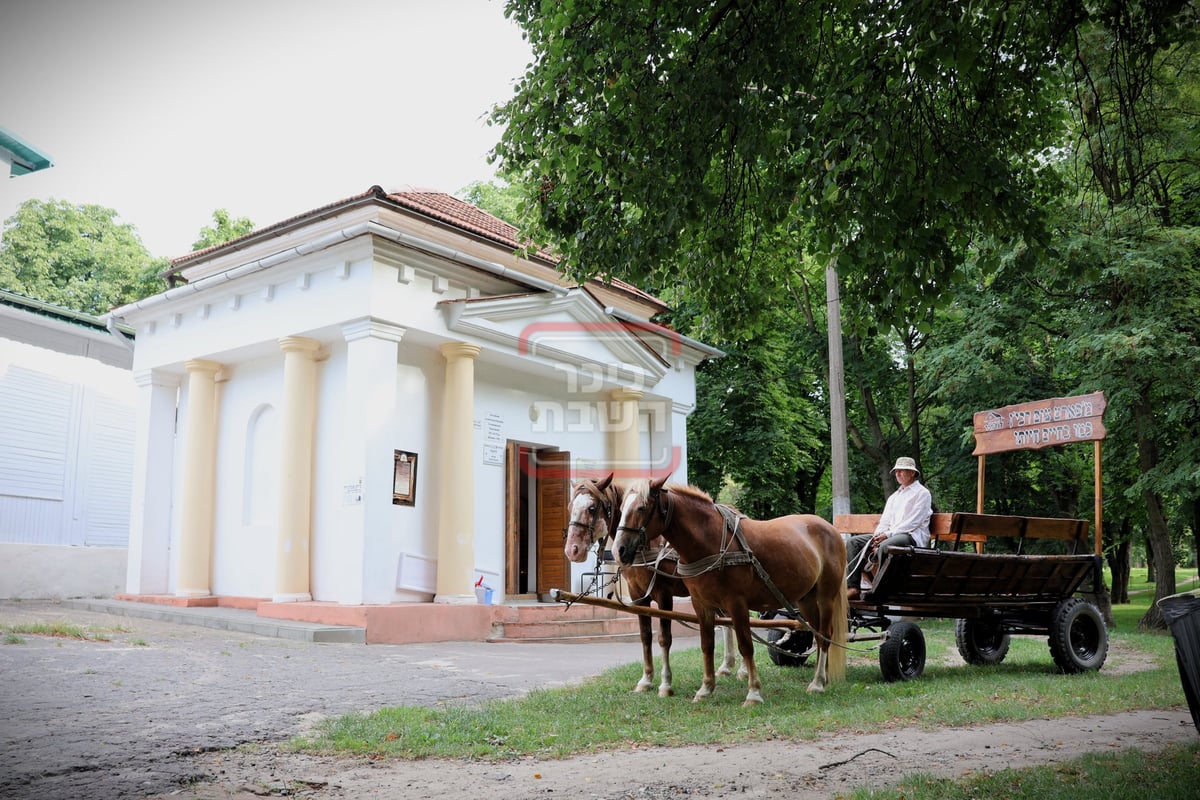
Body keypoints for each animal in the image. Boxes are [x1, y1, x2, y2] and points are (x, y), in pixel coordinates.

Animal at [564, 474, 739, 695]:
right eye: (570, 507)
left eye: (592, 508)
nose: (572, 550)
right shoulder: (638, 595)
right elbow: (645, 635)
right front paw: (646, 679)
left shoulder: (664, 595)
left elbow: (664, 637)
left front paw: (665, 684)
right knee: (727, 622)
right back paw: (726, 666)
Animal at [614, 474, 849, 705]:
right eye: (621, 508)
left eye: (642, 508)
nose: (619, 550)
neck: (710, 540)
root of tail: (830, 529)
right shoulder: (701, 604)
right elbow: (707, 644)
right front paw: (706, 688)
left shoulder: (736, 603)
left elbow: (746, 645)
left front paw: (753, 692)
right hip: (805, 599)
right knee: (816, 632)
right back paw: (822, 677)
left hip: (825, 597)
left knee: (824, 635)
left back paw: (817, 682)